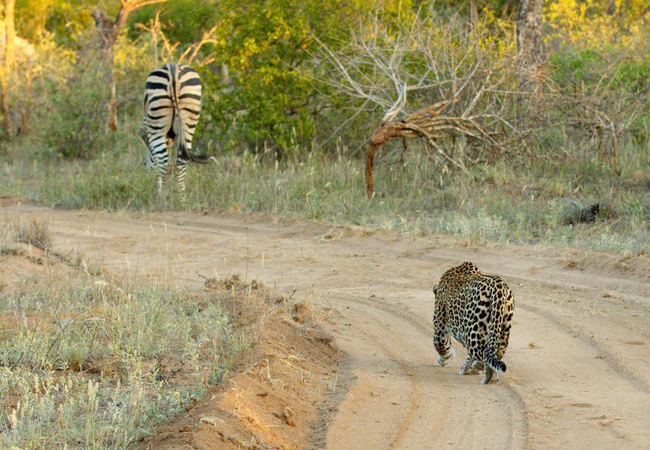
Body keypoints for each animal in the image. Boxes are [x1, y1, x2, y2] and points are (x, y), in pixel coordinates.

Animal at [139, 63, 209, 200]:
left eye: (144, 163)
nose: (146, 178)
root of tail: (173, 74)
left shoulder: (151, 133)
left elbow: (158, 164)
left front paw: (160, 193)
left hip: (157, 126)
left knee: (165, 163)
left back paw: (164, 199)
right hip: (189, 119)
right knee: (180, 162)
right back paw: (181, 200)